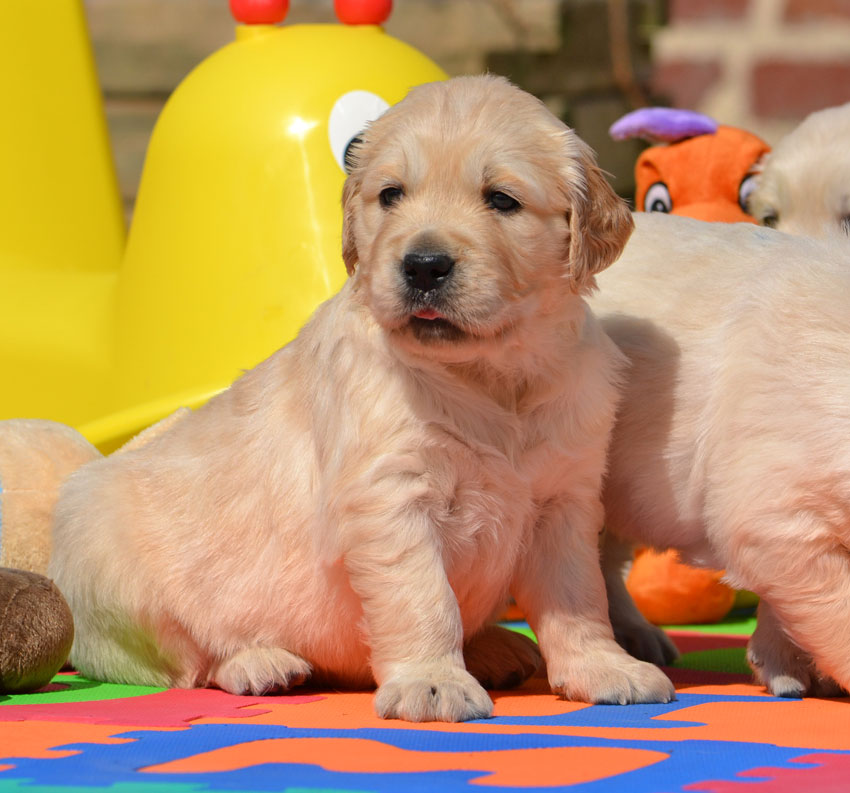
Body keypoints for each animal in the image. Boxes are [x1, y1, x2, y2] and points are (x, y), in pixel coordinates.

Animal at [48, 77, 676, 720]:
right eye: (390, 195)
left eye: (501, 200)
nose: (423, 265)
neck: (491, 377)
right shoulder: (391, 497)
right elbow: (424, 597)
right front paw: (433, 682)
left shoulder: (565, 501)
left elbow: (579, 597)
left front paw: (604, 667)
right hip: (111, 562)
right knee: (187, 662)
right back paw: (260, 662)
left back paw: (494, 646)